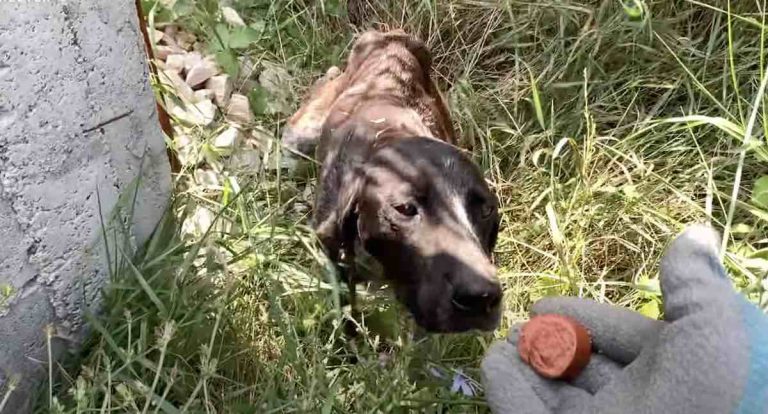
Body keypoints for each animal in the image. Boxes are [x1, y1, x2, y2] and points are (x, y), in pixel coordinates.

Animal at [282, 29, 504, 334]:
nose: (480, 297)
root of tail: (391, 35)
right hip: (299, 133)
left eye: (486, 210)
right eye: (405, 209)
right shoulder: (332, 249)